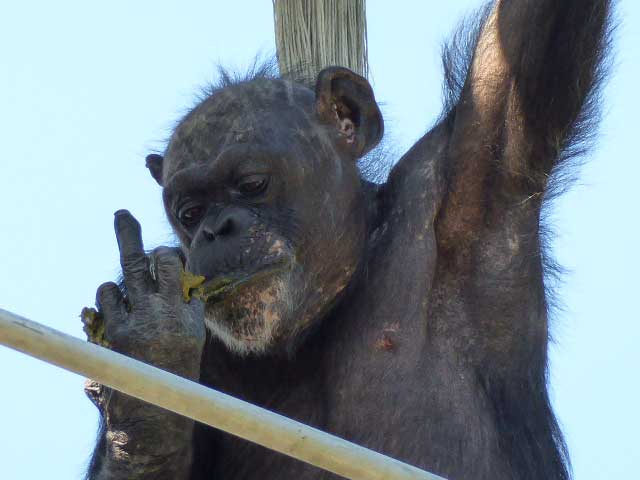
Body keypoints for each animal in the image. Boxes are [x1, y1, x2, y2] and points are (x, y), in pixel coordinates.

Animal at [82, 1, 612, 478]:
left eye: (252, 183)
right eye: (189, 213)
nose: (214, 230)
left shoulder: (474, 164)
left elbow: (527, 38)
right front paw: (150, 345)